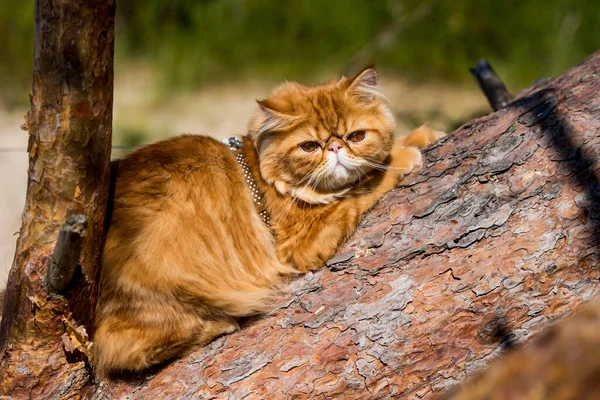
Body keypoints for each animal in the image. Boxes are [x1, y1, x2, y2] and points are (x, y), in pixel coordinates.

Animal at [95, 67, 446, 376]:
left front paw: (422, 136)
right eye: (309, 146)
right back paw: (222, 324)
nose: (335, 147)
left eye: (356, 136)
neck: (262, 175)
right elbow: (367, 181)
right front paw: (405, 155)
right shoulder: (304, 239)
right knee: (129, 353)